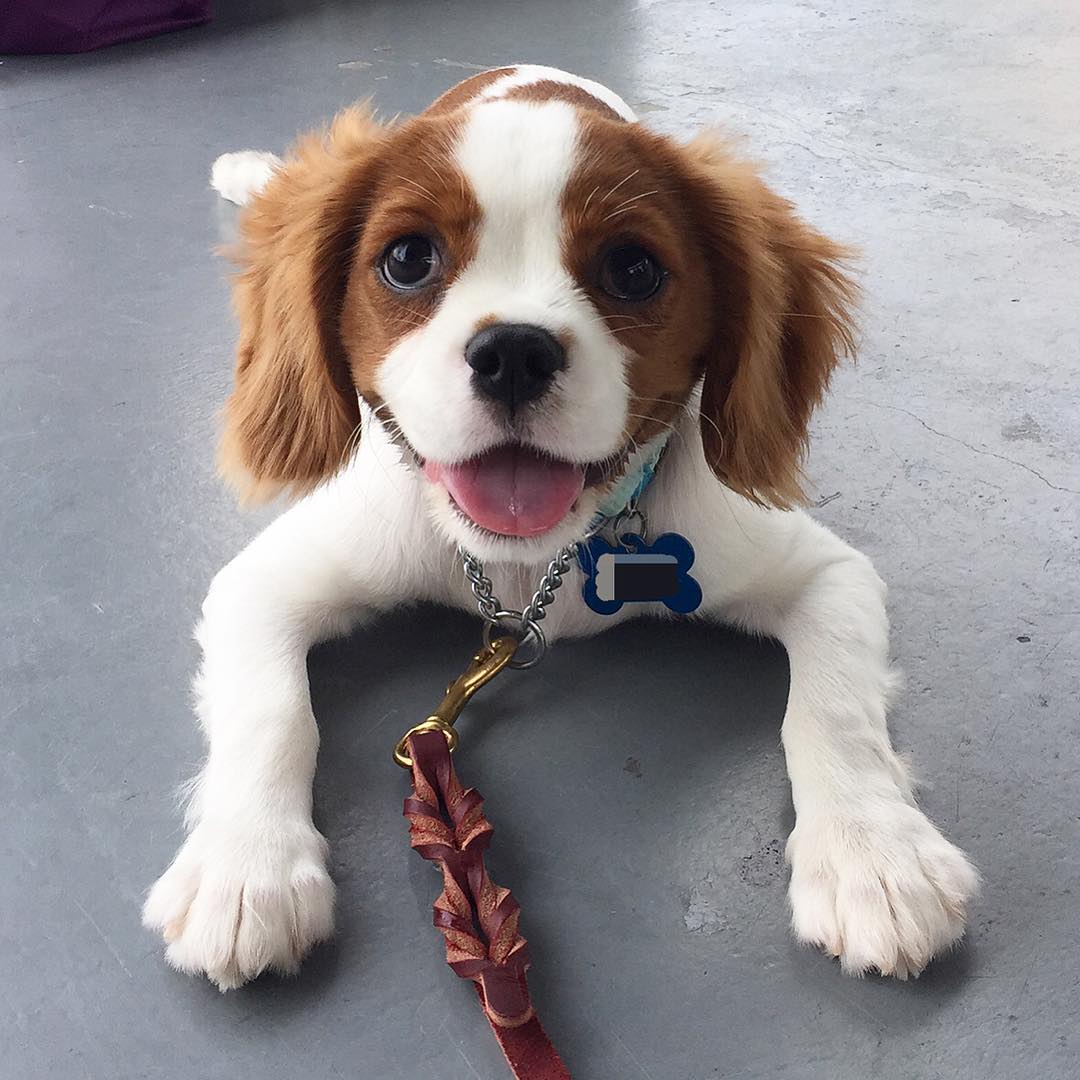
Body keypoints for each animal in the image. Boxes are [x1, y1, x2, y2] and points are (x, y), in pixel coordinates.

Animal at [143, 65, 980, 989]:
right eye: (407, 259)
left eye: (633, 269)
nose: (513, 351)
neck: (525, 567)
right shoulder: (259, 586)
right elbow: (273, 712)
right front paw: (244, 870)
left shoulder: (829, 575)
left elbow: (831, 711)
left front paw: (876, 858)